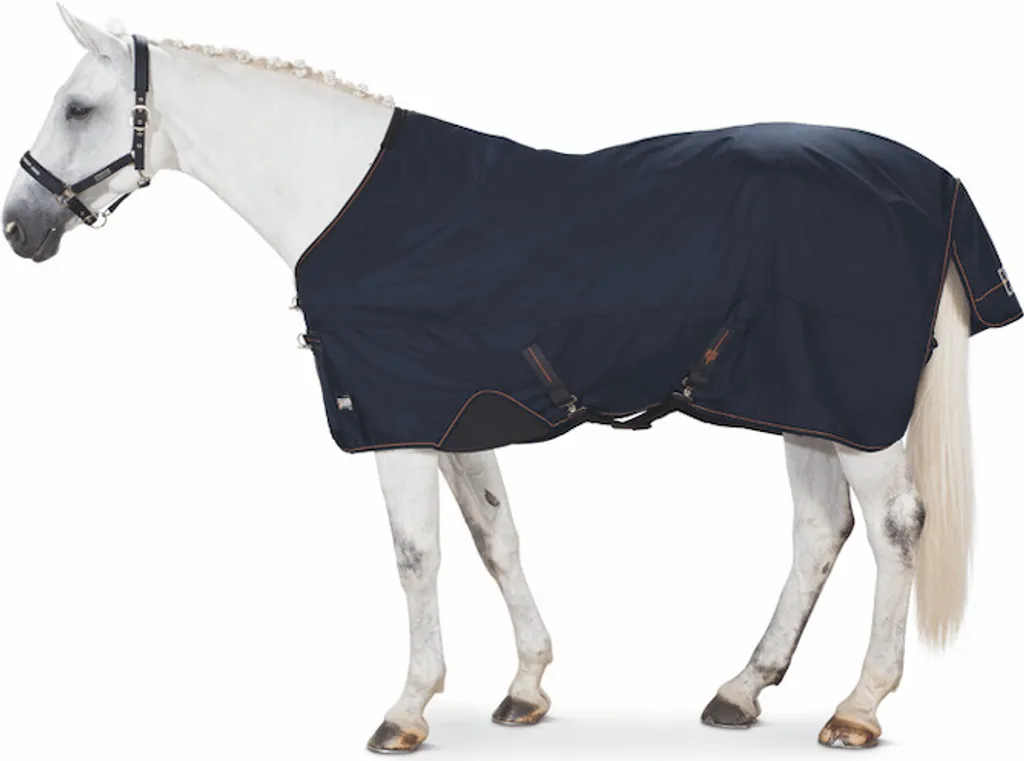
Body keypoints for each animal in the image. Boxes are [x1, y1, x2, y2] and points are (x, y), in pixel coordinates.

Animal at [4, 6, 1019, 754]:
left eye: (80, 108)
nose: (20, 227)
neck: (350, 198)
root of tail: (932, 182)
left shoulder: (402, 421)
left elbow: (417, 556)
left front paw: (407, 707)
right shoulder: (461, 417)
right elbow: (497, 540)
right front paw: (527, 685)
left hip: (856, 410)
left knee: (894, 530)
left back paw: (858, 707)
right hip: (804, 402)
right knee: (818, 531)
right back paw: (741, 688)